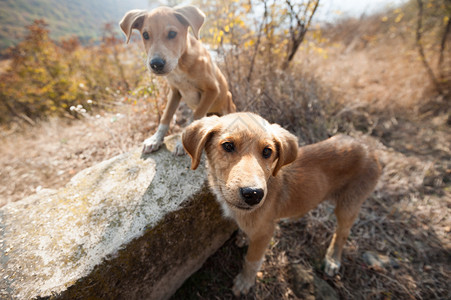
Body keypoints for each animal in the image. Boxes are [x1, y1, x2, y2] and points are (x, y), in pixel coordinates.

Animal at [120, 5, 237, 156]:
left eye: (172, 33)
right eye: (145, 35)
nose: (156, 64)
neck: (180, 66)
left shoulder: (212, 89)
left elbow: (196, 115)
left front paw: (182, 143)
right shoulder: (175, 92)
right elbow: (166, 115)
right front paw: (155, 139)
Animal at [182, 112, 384, 296]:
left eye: (267, 151)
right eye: (228, 146)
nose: (254, 194)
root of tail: (370, 150)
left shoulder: (264, 234)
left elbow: (252, 260)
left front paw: (244, 282)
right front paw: (244, 237)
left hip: (349, 204)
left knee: (342, 233)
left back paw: (333, 259)